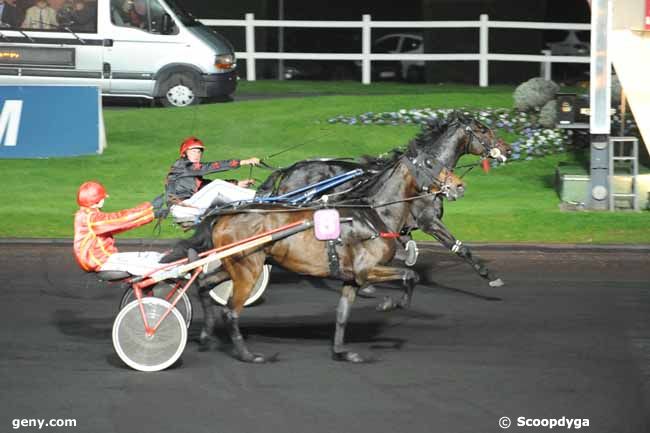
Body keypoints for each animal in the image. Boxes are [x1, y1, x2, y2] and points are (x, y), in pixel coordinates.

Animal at [172, 140, 466, 360]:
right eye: (430, 163)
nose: (459, 185)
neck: (371, 214)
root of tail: (222, 214)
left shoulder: (351, 277)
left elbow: (342, 314)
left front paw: (342, 352)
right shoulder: (367, 269)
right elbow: (410, 276)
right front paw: (389, 303)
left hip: (235, 264)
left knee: (204, 283)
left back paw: (206, 336)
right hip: (248, 268)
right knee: (231, 310)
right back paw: (248, 355)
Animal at [253, 110, 512, 290]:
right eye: (482, 129)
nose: (508, 149)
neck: (421, 176)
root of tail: (289, 169)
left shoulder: (400, 226)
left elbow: (407, 251)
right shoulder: (429, 221)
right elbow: (460, 248)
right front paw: (490, 276)